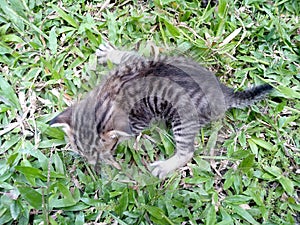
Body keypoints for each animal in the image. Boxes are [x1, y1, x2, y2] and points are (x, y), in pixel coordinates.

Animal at [50, 43, 274, 178]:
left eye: (98, 152)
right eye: (81, 150)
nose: (90, 164)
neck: (107, 96)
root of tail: (223, 93)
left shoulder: (139, 118)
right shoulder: (134, 63)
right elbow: (128, 55)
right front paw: (111, 53)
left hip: (183, 118)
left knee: (187, 151)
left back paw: (165, 166)